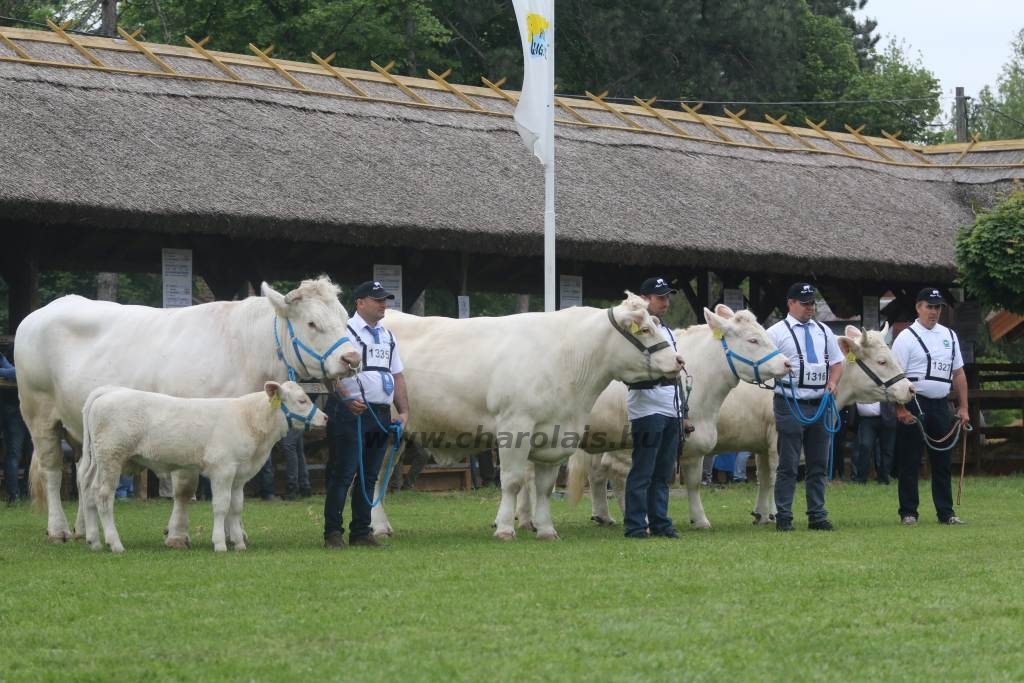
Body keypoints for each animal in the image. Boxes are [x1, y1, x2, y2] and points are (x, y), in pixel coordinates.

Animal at [79, 382, 323, 552]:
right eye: (302, 400)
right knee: (103, 496)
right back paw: (115, 543)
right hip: (111, 458)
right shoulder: (222, 470)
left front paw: (239, 543)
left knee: (89, 491)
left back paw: (94, 541)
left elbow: (236, 507)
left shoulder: (239, 476)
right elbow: (221, 506)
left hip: (97, 460)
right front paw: (220, 544)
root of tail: (109, 391)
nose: (326, 418)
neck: (249, 419)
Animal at [372, 294, 684, 540]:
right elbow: (512, 481)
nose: (679, 361)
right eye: (645, 329)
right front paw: (504, 528)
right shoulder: (514, 427)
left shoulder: (556, 436)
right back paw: (377, 528)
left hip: (398, 436)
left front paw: (545, 529)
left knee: (380, 476)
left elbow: (545, 487)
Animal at [561, 305, 790, 528]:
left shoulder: (697, 441)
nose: (787, 363)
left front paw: (702, 520)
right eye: (753, 339)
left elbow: (696, 482)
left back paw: (602, 516)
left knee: (595, 473)